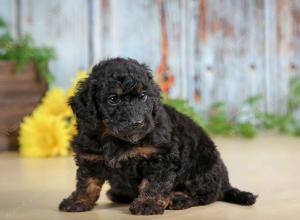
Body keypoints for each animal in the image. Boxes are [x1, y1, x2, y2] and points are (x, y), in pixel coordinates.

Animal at [59, 57, 256, 215]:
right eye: (113, 99)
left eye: (143, 96)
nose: (137, 122)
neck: (116, 139)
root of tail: (225, 184)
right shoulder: (90, 157)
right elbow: (86, 183)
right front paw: (77, 201)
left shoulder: (160, 157)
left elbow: (154, 184)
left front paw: (147, 204)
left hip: (202, 167)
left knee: (203, 195)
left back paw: (178, 199)